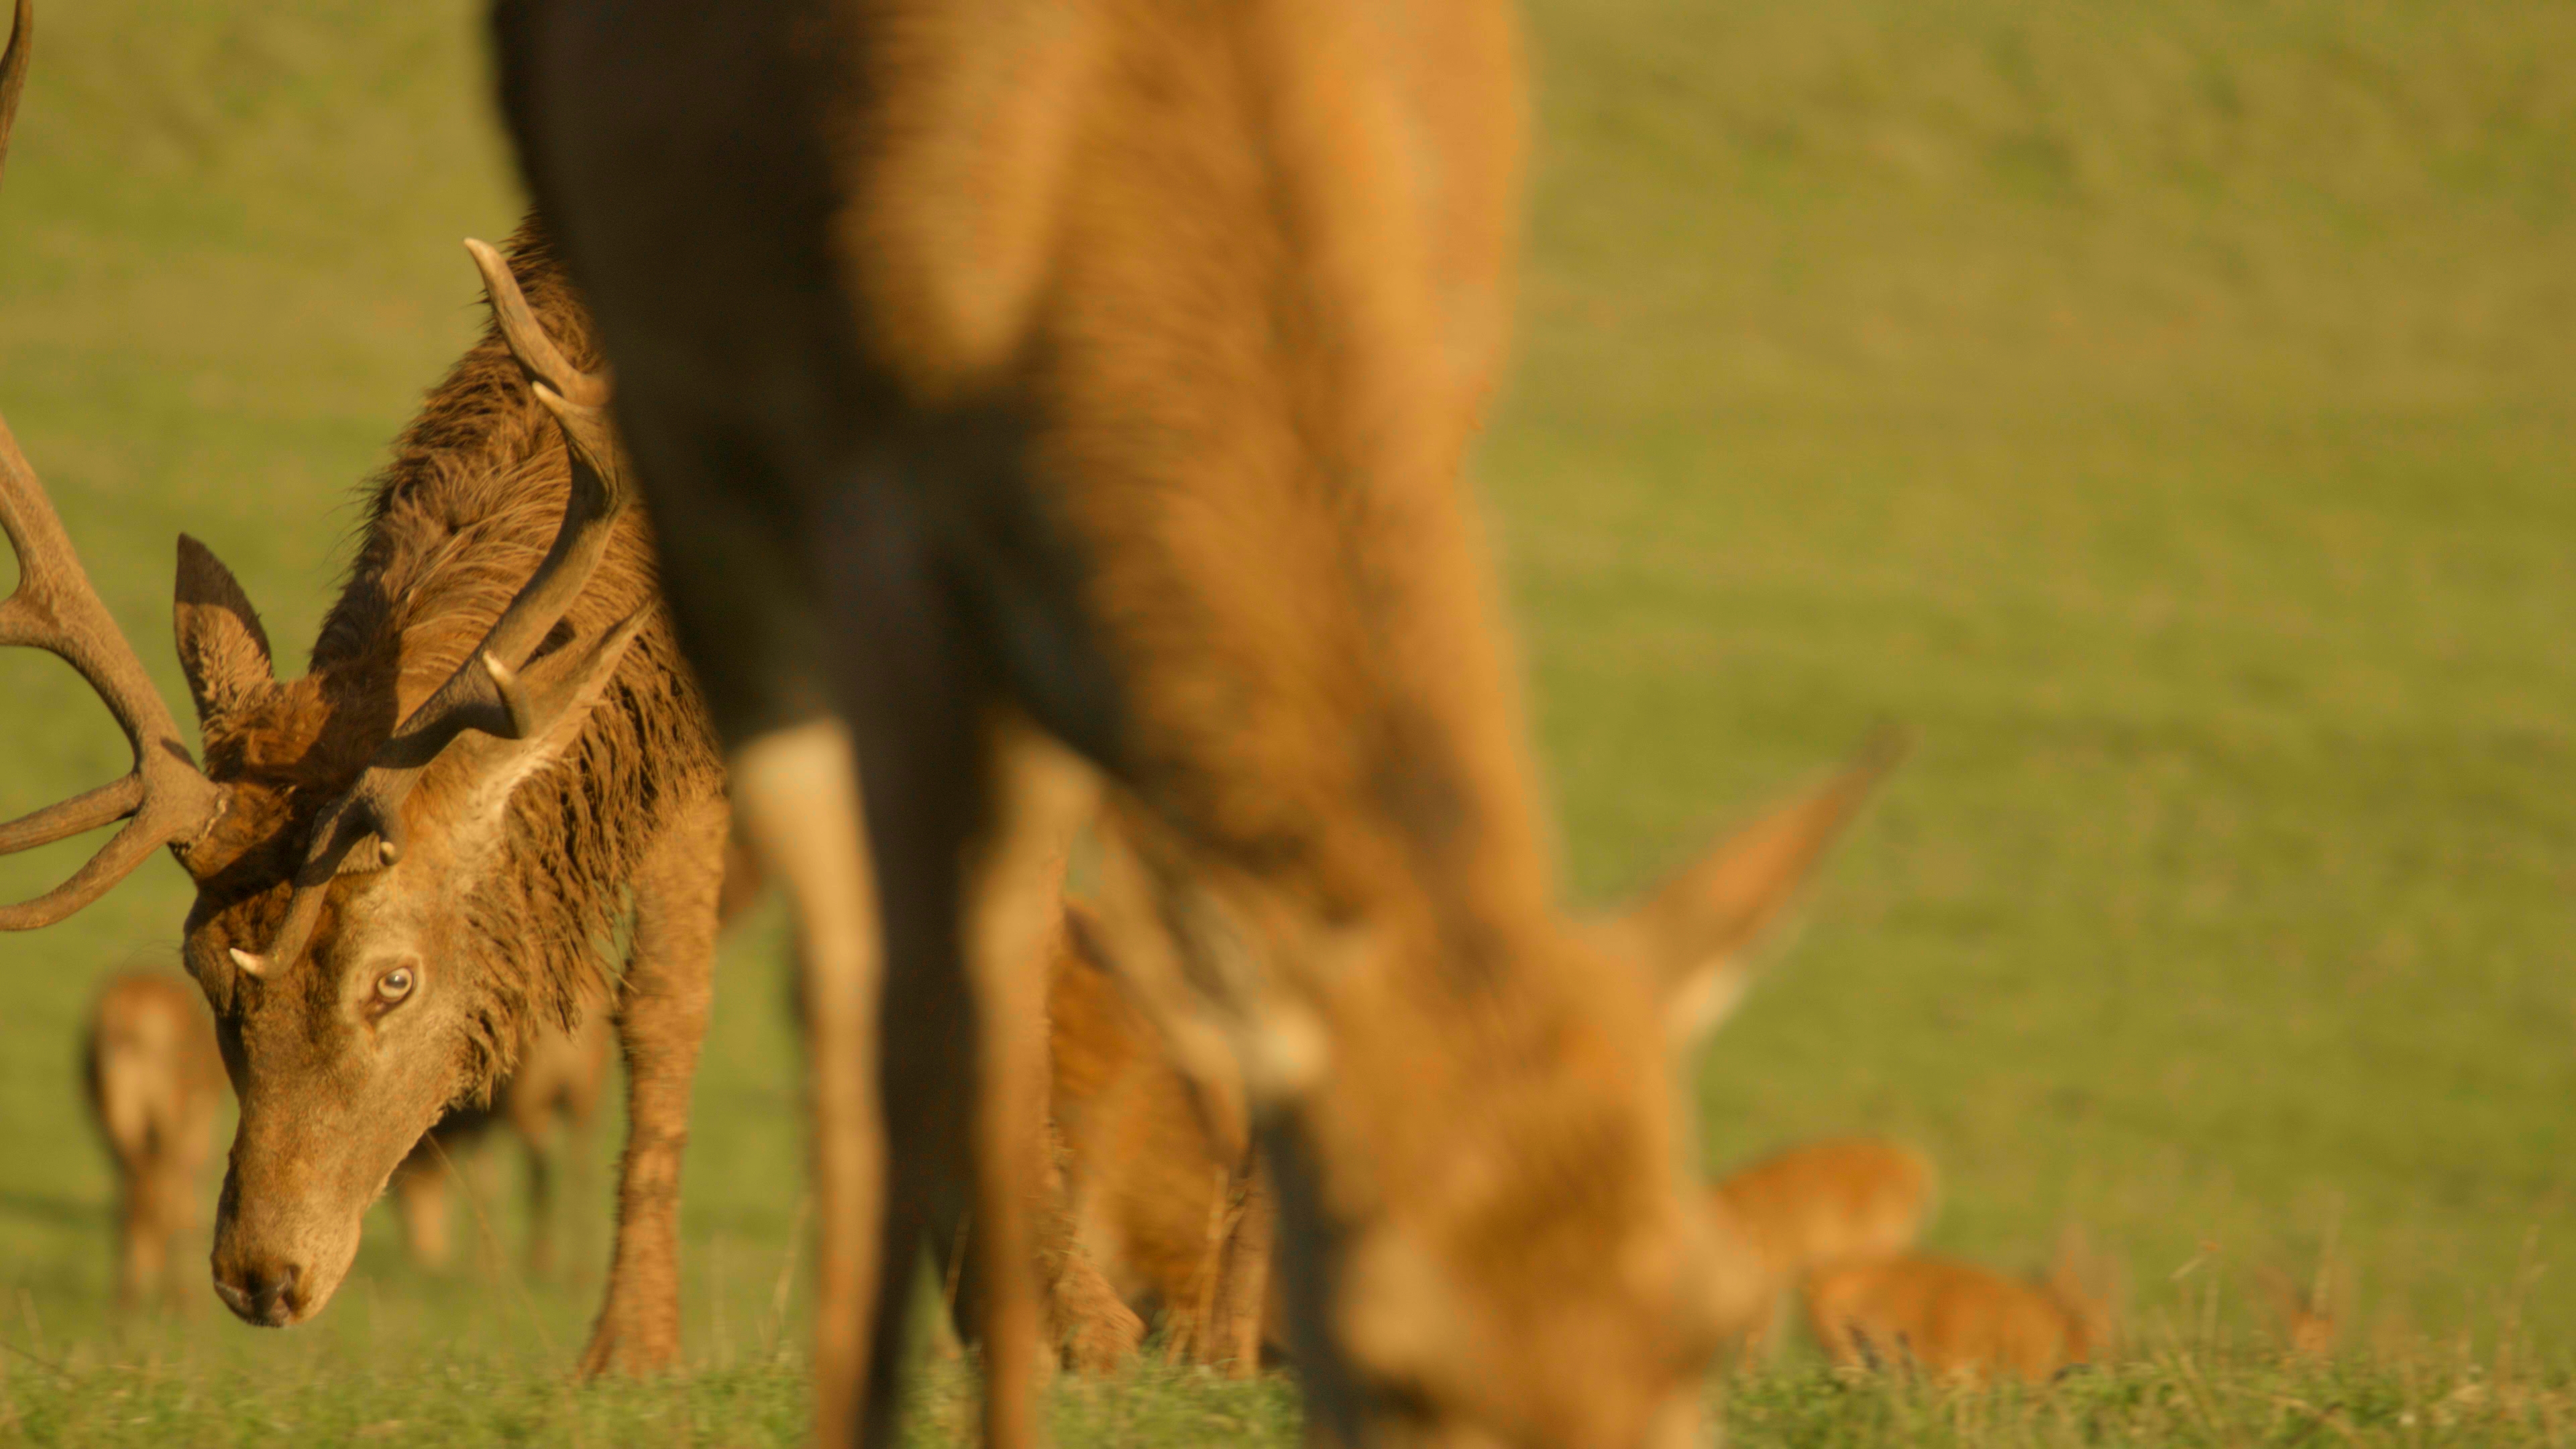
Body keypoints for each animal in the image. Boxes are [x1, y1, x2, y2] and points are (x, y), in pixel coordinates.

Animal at [80, 969, 226, 1311]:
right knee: (157, 1192)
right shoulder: (196, 1125)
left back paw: (130, 1295)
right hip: (167, 1113)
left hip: (119, 1119)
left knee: (137, 1193)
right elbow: (184, 1198)